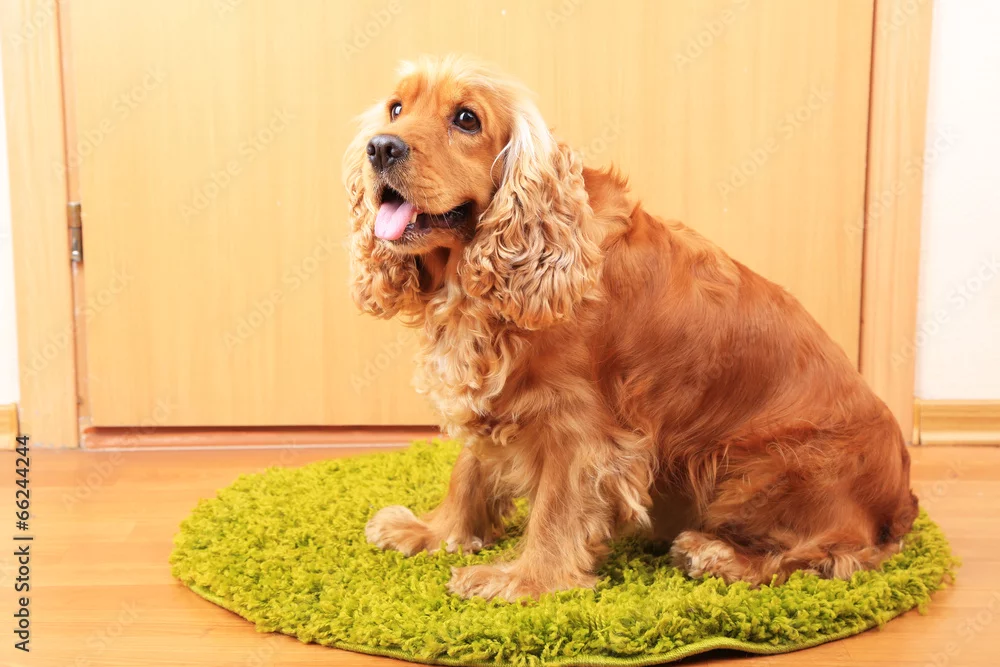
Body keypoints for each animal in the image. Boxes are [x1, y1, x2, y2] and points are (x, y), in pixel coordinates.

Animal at [345, 55, 918, 602]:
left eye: (467, 119)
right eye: (396, 108)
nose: (381, 148)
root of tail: (900, 496)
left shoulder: (582, 427)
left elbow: (555, 508)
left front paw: (524, 581)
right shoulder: (495, 390)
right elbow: (468, 471)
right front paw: (434, 533)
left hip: (762, 468)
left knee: (827, 554)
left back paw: (716, 555)